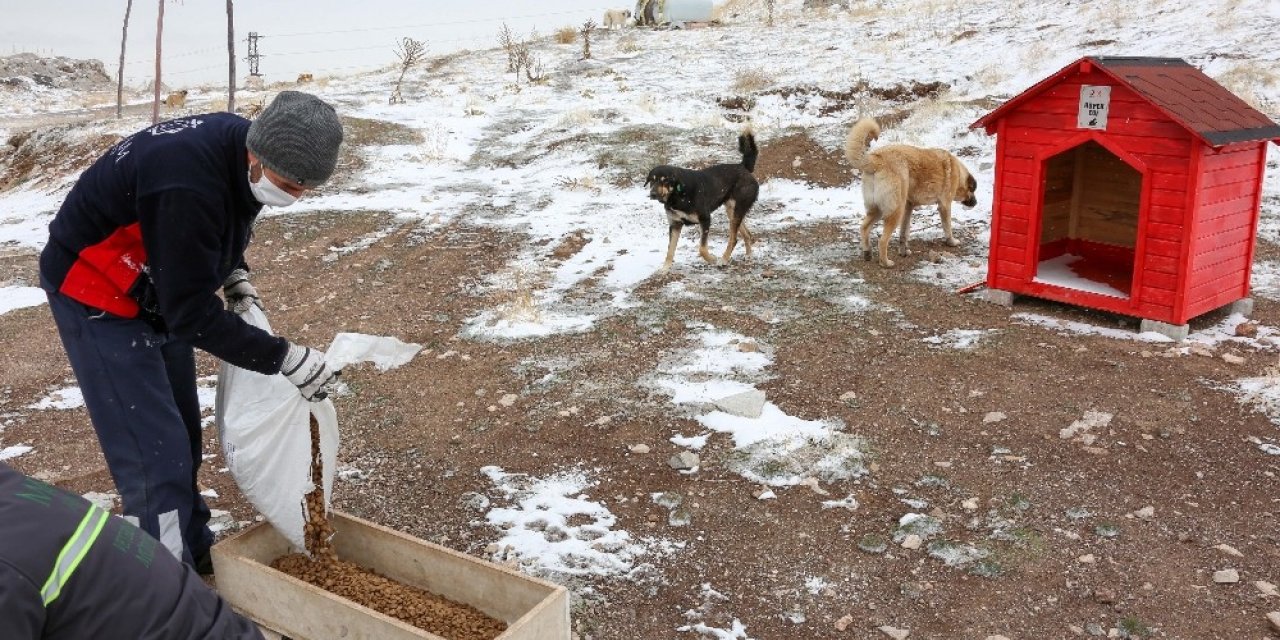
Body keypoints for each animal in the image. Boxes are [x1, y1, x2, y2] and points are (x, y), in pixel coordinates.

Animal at [645, 128, 752, 271]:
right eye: (652, 180)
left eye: (664, 181)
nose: (652, 194)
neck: (678, 195)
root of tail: (743, 167)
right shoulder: (675, 225)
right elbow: (670, 251)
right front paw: (665, 269)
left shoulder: (705, 219)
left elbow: (702, 249)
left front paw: (712, 259)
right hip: (732, 212)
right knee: (747, 234)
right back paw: (748, 254)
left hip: (737, 210)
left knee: (733, 239)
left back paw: (723, 260)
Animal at [844, 117, 972, 267]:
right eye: (973, 190)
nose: (975, 203)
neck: (958, 174)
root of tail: (876, 159)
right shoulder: (944, 206)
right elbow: (947, 226)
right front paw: (951, 241)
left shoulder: (908, 208)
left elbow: (904, 233)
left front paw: (904, 251)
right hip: (895, 211)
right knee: (882, 240)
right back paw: (885, 262)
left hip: (878, 209)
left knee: (864, 228)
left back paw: (867, 253)